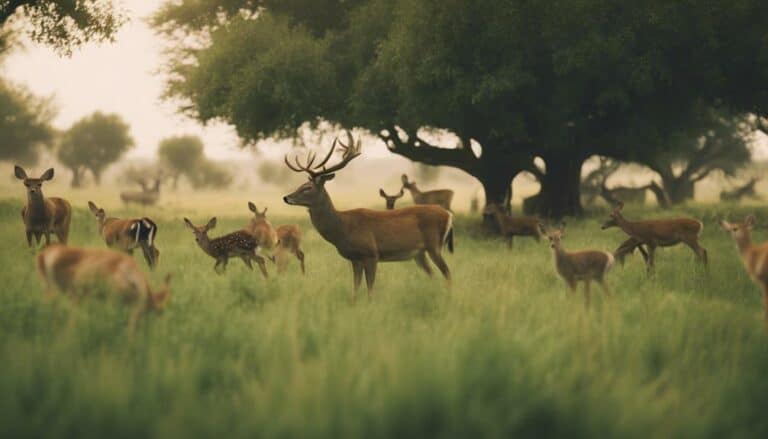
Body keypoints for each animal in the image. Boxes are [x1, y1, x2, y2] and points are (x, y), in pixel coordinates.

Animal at [286, 134, 456, 300]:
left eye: (307, 187)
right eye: (300, 185)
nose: (286, 197)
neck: (343, 227)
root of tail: (448, 215)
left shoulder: (371, 253)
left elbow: (370, 289)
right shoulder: (355, 258)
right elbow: (355, 289)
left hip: (434, 245)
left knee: (448, 273)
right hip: (419, 253)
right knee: (433, 275)